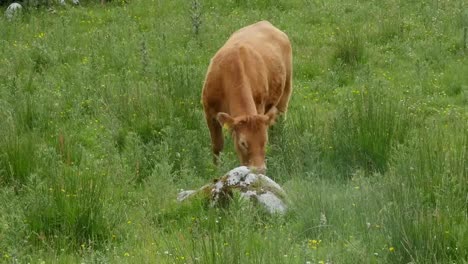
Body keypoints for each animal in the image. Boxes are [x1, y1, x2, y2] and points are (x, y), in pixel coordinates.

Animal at [202, 20, 292, 173]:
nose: (259, 170)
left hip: (286, 90)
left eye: (264, 141)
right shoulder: (209, 112)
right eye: (243, 143)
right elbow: (217, 145)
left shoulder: (260, 107)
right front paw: (215, 169)